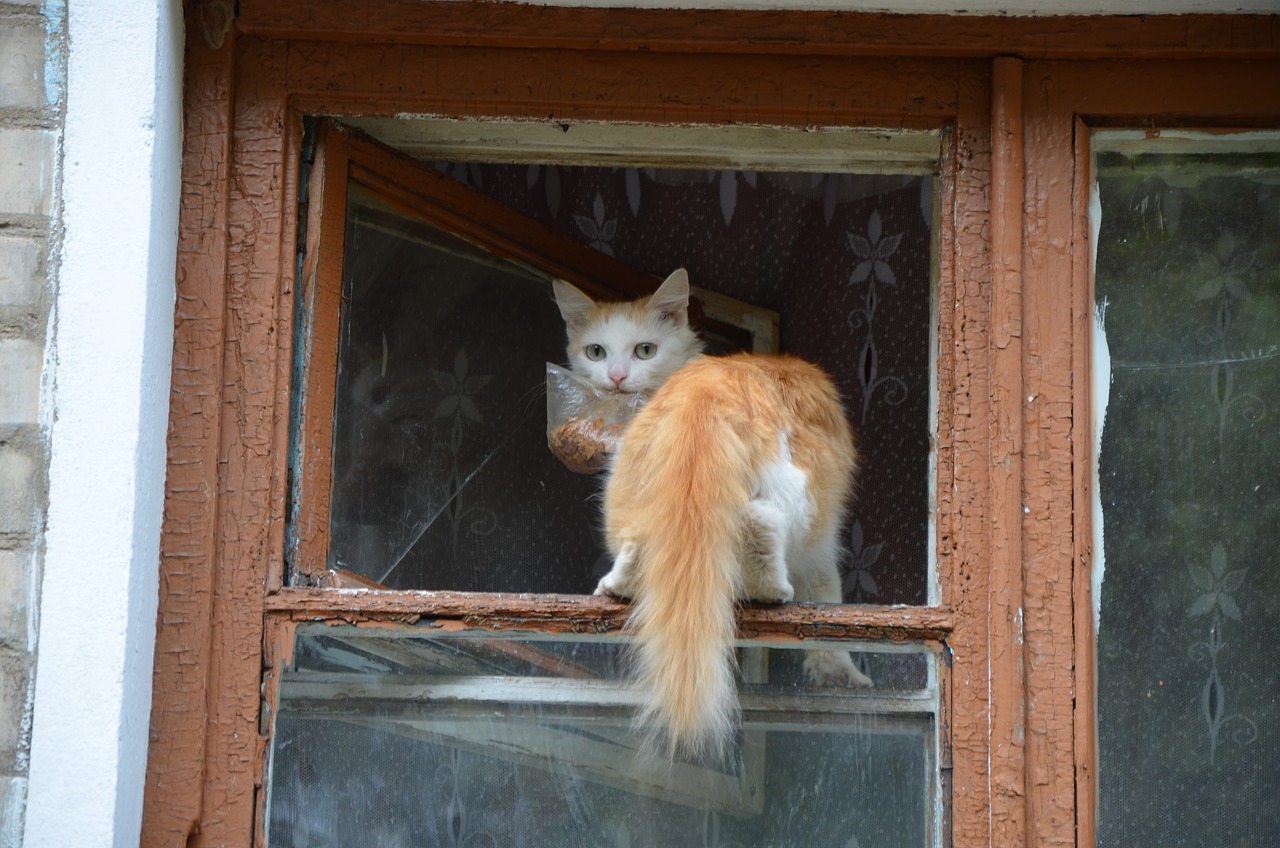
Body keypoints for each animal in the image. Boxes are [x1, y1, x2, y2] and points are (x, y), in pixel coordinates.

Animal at [552, 269, 870, 758]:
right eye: (597, 351)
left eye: (645, 350)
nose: (617, 377)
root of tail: (709, 388)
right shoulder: (824, 554)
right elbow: (828, 600)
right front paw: (839, 674)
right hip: (803, 499)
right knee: (767, 526)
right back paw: (769, 587)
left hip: (621, 485)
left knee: (637, 544)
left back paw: (619, 583)